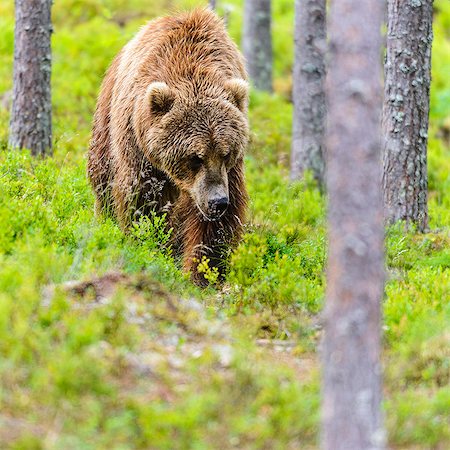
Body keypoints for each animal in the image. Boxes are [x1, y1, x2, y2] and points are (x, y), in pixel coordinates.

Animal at [88, 7, 250, 284]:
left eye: (226, 153)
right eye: (195, 157)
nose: (218, 201)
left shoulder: (226, 174)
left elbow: (213, 225)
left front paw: (203, 272)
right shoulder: (138, 145)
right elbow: (142, 199)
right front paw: (146, 244)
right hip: (106, 119)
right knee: (102, 179)